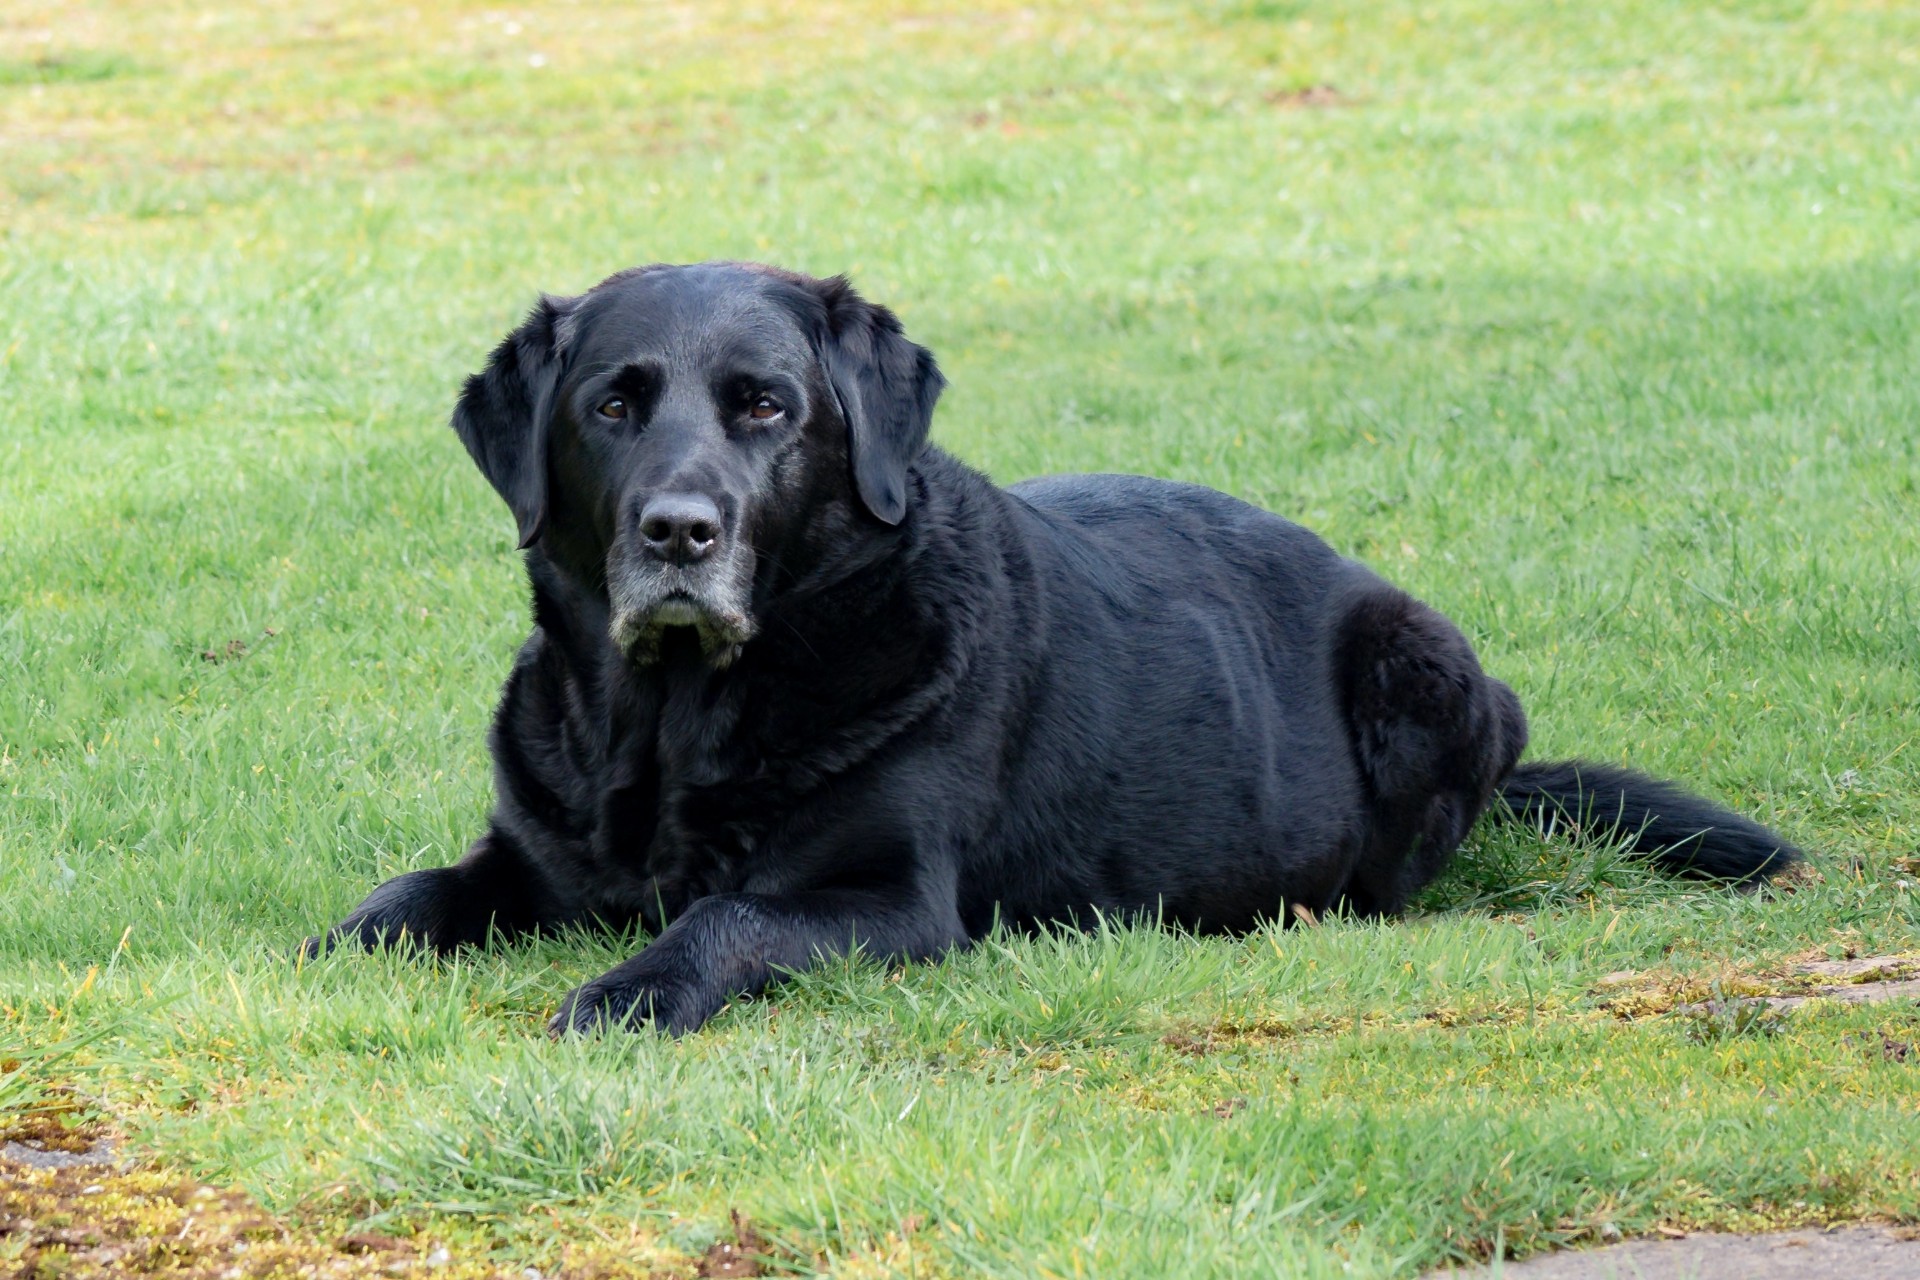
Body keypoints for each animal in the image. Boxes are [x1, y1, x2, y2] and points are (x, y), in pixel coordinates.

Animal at [307, 260, 1804, 1028]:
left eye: (767, 407)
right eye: (613, 406)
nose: (680, 530)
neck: (673, 721)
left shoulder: (886, 899)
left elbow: (723, 917)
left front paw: (629, 991)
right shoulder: (527, 854)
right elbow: (409, 892)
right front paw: (341, 944)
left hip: (1425, 669)